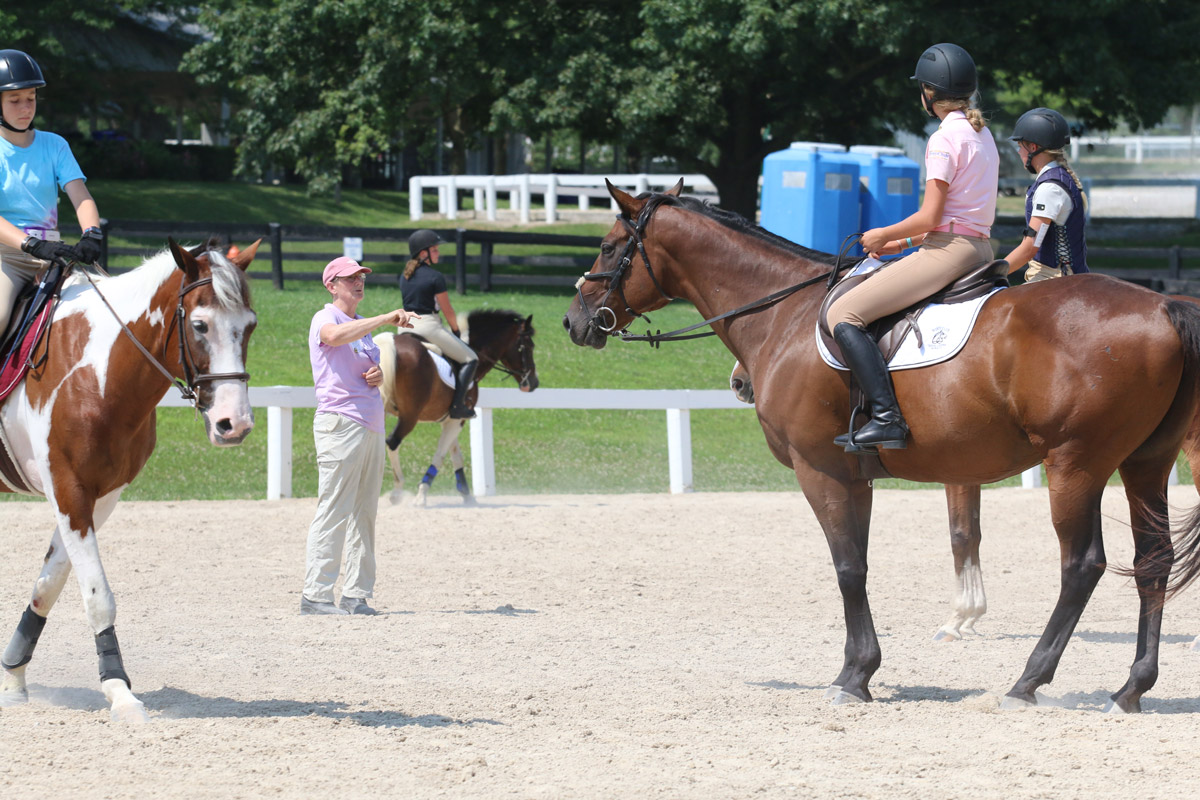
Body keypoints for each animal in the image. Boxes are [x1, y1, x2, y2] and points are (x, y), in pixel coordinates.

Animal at [1, 241, 259, 724]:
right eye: (200, 325)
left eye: (249, 326)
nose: (233, 425)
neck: (98, 371)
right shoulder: (68, 488)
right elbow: (97, 595)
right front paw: (119, 691)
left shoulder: (101, 496)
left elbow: (48, 586)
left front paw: (13, 678)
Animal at [374, 309, 540, 506]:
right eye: (528, 346)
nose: (534, 383)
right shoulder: (459, 418)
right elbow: (440, 455)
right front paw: (422, 495)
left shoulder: (450, 419)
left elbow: (455, 455)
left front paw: (466, 494)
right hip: (409, 416)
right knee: (392, 442)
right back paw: (397, 491)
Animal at [566, 183, 1200, 714]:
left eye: (609, 245)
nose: (576, 322)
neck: (783, 315)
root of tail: (1162, 305)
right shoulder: (856, 475)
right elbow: (862, 563)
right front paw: (863, 668)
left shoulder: (820, 469)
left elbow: (847, 566)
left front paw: (853, 679)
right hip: (1145, 464)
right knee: (1153, 560)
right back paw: (1131, 688)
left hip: (1076, 463)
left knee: (1082, 564)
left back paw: (1027, 682)